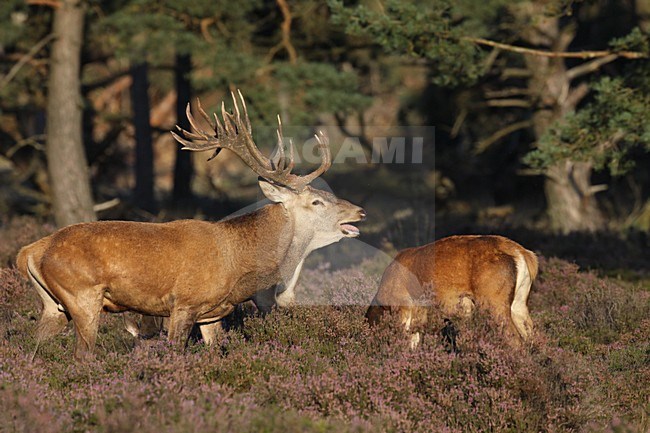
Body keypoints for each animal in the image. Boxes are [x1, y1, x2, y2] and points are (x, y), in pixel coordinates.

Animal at [16, 90, 364, 358]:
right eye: (316, 201)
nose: (359, 211)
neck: (239, 264)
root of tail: (30, 250)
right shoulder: (183, 303)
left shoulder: (212, 314)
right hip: (83, 296)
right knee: (81, 356)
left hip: (53, 306)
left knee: (33, 351)